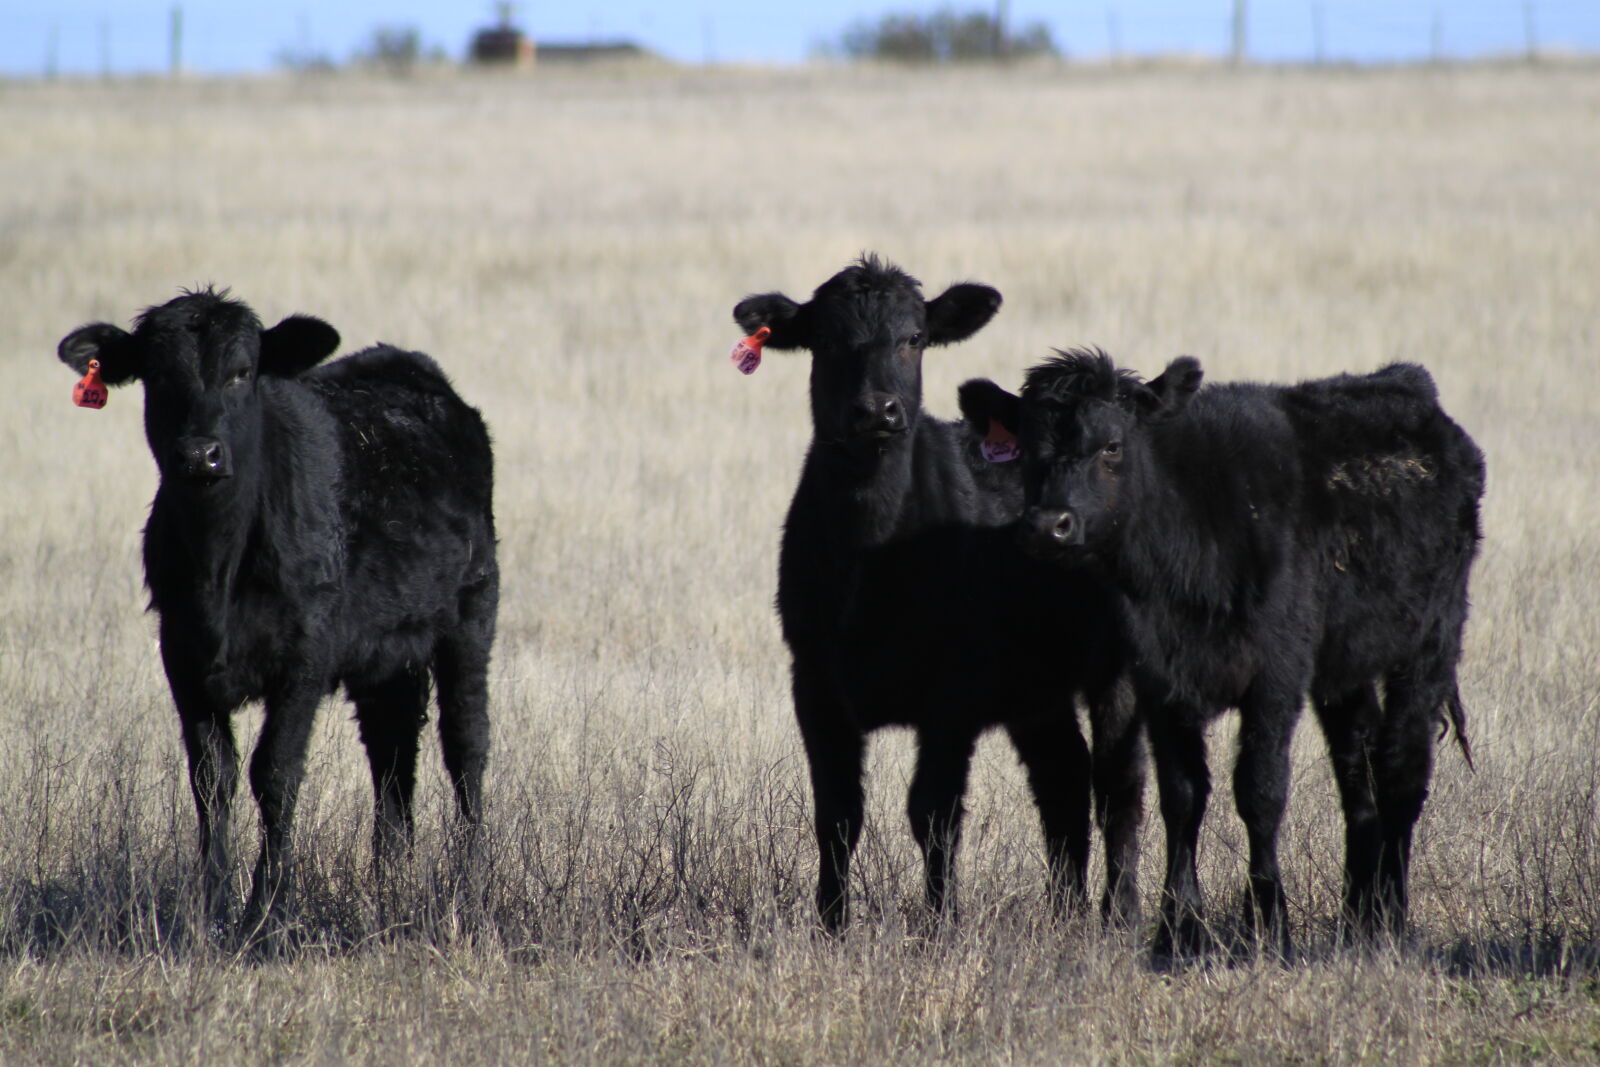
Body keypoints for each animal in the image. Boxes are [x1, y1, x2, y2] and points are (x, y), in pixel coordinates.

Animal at [59, 289, 499, 934]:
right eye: (157, 376)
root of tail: (413, 369)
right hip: (386, 654)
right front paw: (212, 905)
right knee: (392, 752)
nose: (201, 455)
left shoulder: (305, 660)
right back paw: (388, 878)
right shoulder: (182, 657)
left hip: (472, 617)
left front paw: (266, 911)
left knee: (465, 744)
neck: (219, 567)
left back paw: (468, 878)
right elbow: (210, 777)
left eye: (243, 372)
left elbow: (275, 774)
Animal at [732, 259, 1145, 934]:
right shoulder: (814, 682)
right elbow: (837, 812)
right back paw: (1064, 912)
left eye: (914, 338)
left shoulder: (953, 694)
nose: (876, 410)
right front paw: (832, 924)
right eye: (826, 340)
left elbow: (933, 811)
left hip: (1118, 665)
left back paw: (1121, 912)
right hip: (1036, 688)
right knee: (1063, 775)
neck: (870, 553)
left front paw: (940, 923)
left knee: (1118, 782)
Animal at [953, 351, 1478, 959]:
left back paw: (1391, 914)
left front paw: (1270, 923)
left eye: (1112, 445)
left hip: (1431, 641)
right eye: (1029, 450)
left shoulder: (1276, 676)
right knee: (1357, 771)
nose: (1048, 526)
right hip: (1344, 669)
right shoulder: (1160, 681)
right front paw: (1177, 928)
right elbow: (1181, 796)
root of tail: (1406, 382)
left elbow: (1259, 791)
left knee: (1402, 768)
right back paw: (1357, 916)